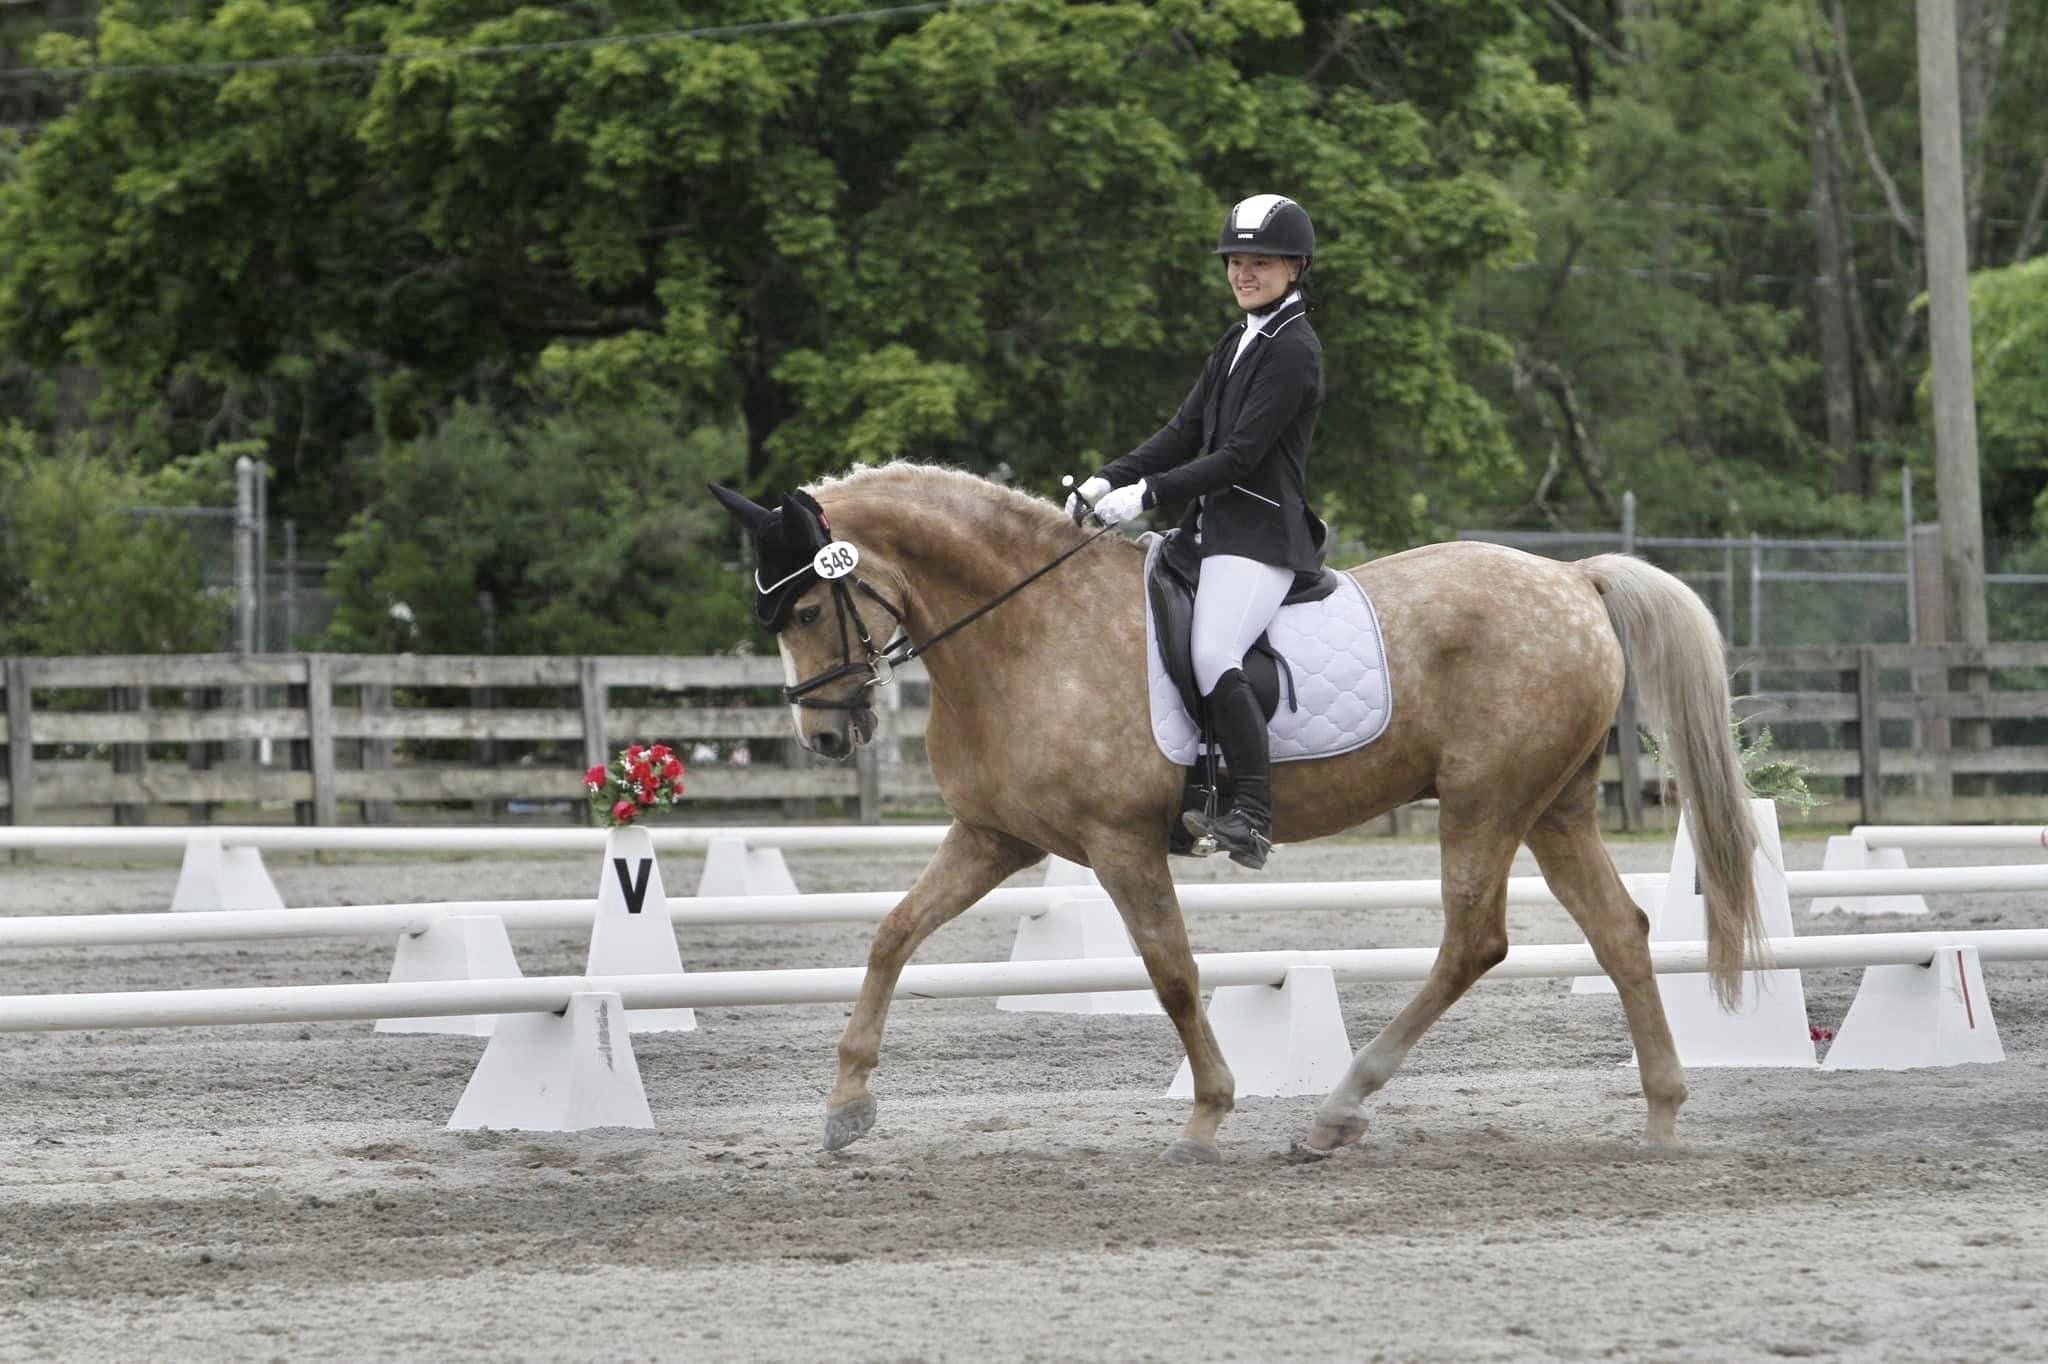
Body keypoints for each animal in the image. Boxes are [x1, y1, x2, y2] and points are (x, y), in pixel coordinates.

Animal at [711, 462, 1763, 1164]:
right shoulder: (995, 837)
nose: (825, 738)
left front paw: (1208, 1113)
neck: (1026, 632)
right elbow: (892, 933)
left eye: (806, 610)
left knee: (1475, 943)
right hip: (1555, 807)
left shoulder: (1121, 843)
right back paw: (1662, 1114)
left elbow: (1173, 974)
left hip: (1485, 802)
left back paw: (1336, 1111)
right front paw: (847, 1106)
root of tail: (1573, 578)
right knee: (1619, 933)